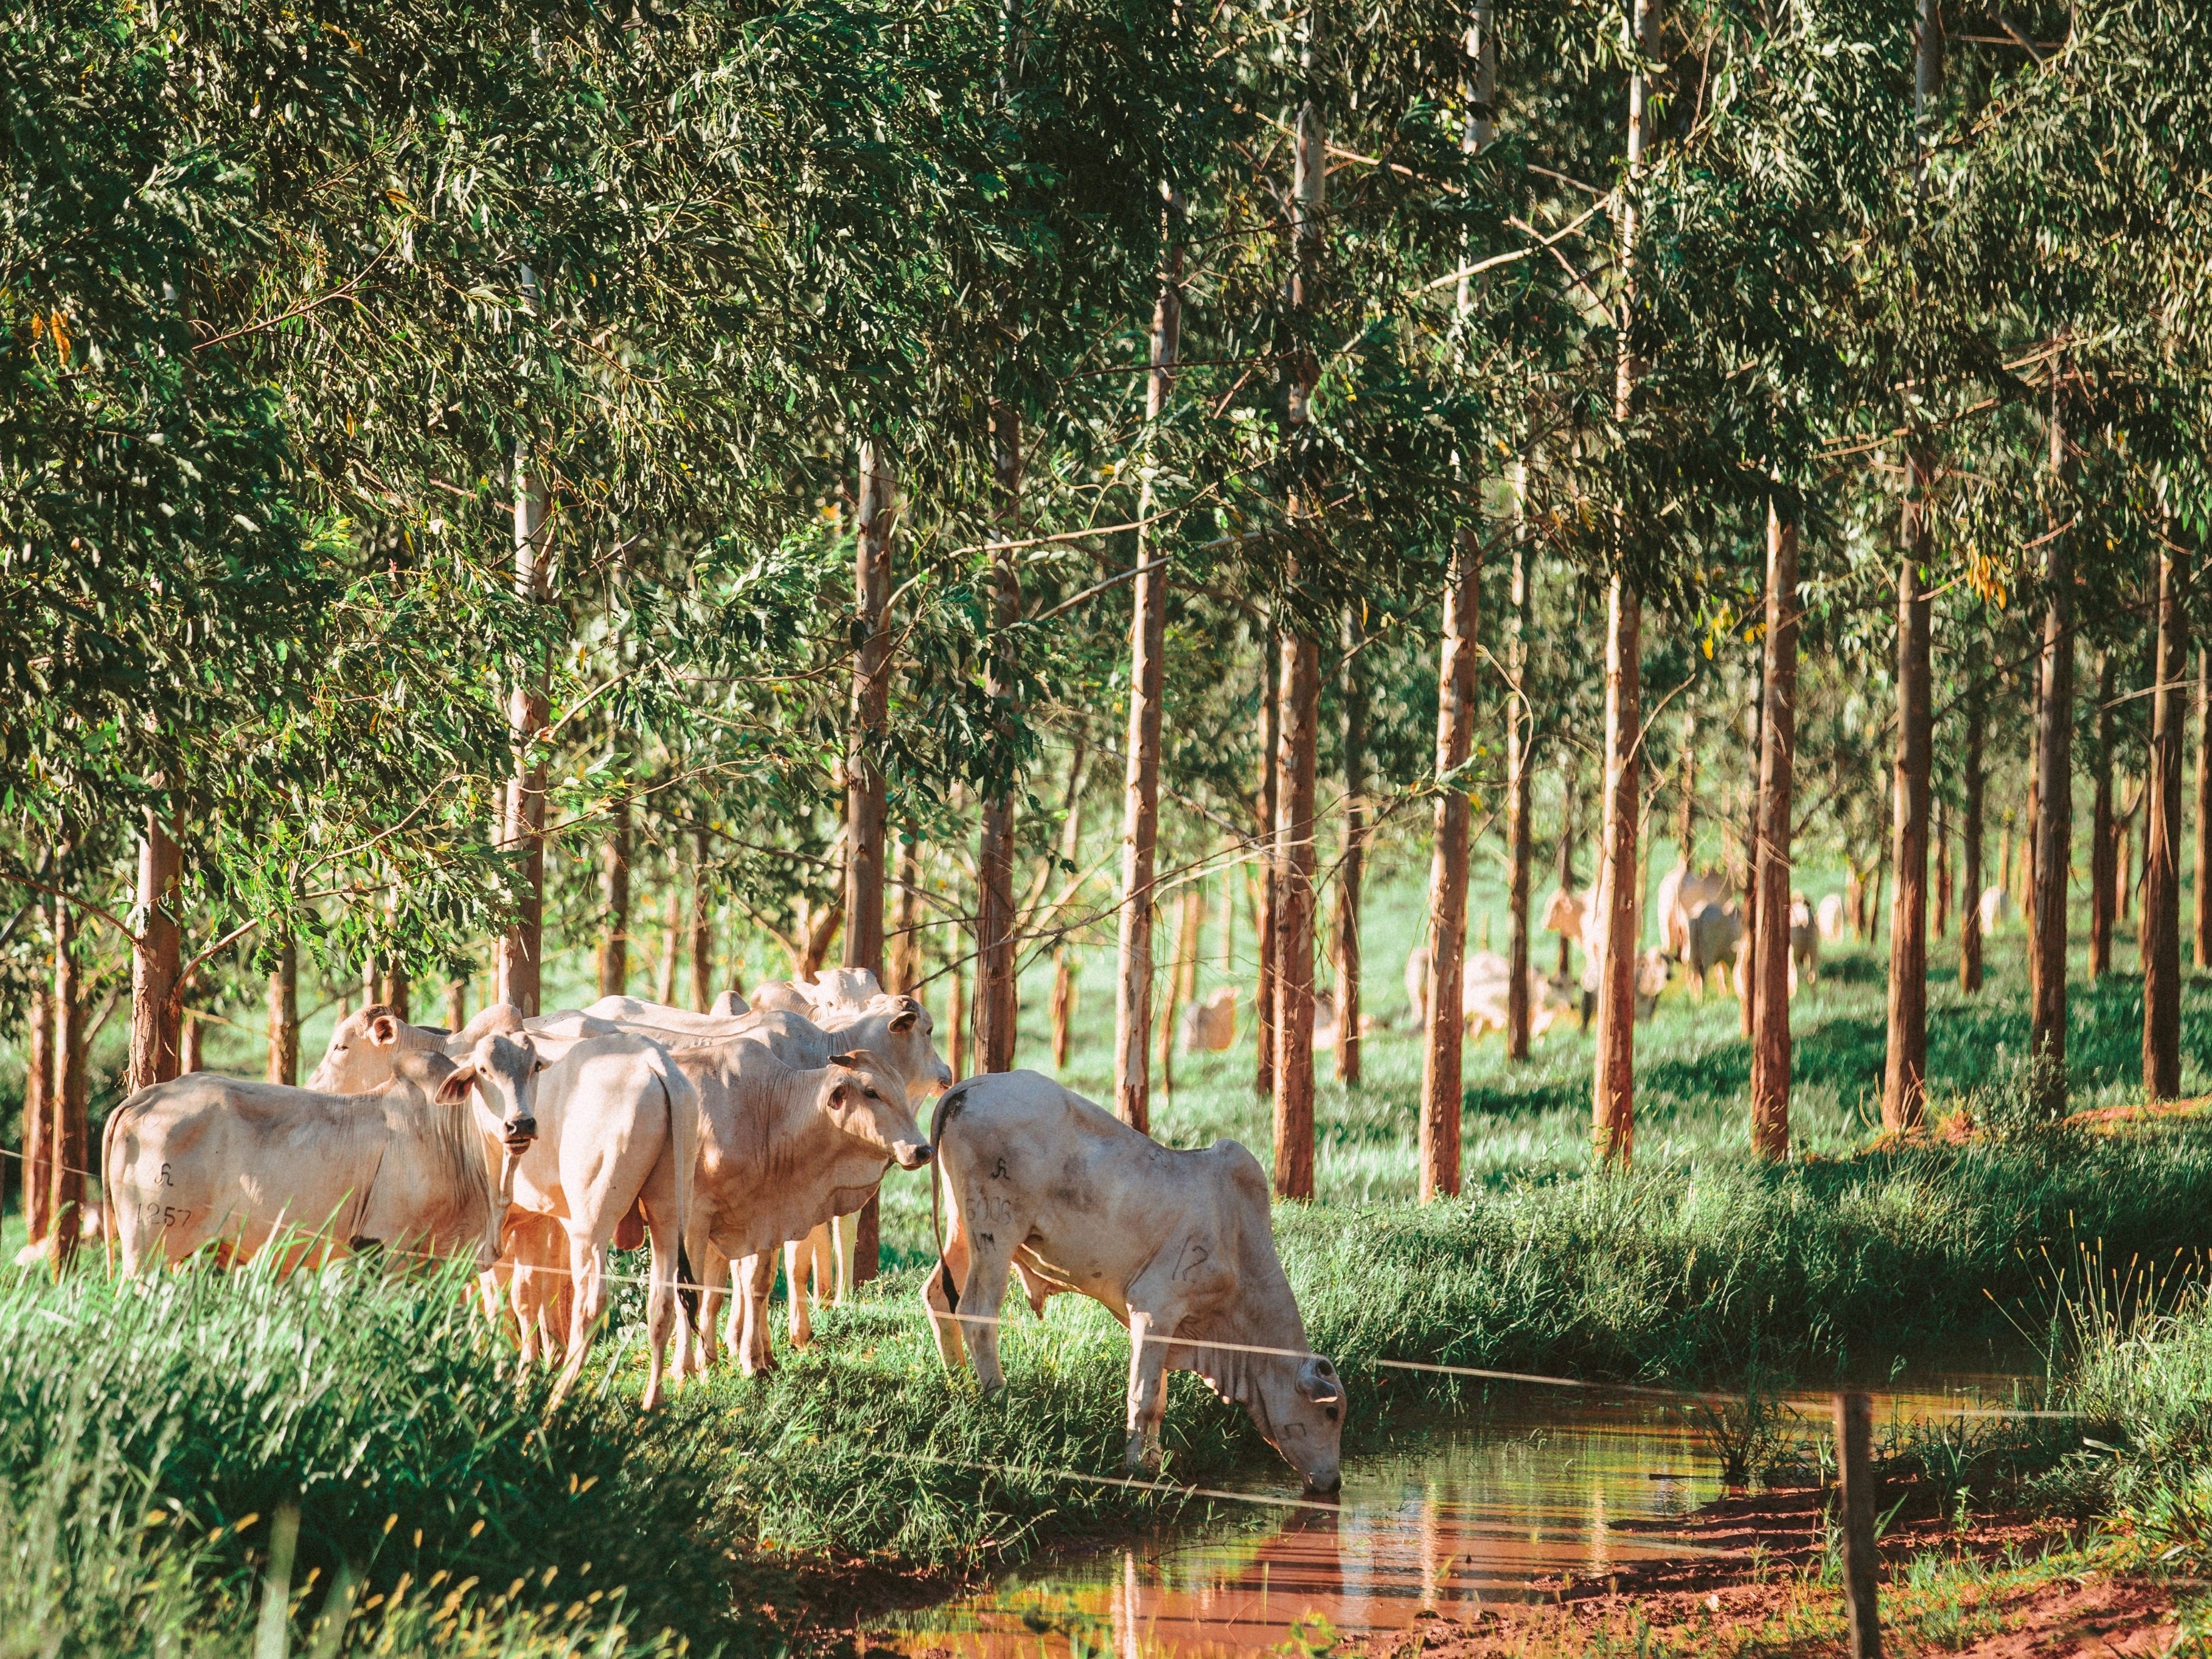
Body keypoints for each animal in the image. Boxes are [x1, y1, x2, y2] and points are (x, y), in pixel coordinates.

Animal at [105, 1035, 546, 1282]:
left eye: (535, 1068)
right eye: (483, 1071)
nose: (520, 1124)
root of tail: (143, 1099)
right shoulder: (389, 1252)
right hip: (147, 1249)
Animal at [920, 1070, 1336, 1504]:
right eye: (1331, 1412)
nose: (1335, 1483)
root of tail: (969, 1087)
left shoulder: (1165, 1327)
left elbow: (1159, 1399)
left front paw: (1155, 1461)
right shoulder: (1155, 1308)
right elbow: (1144, 1400)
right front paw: (1137, 1468)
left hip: (960, 1226)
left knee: (938, 1297)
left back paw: (959, 1386)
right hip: (995, 1233)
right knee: (977, 1313)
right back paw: (999, 1401)